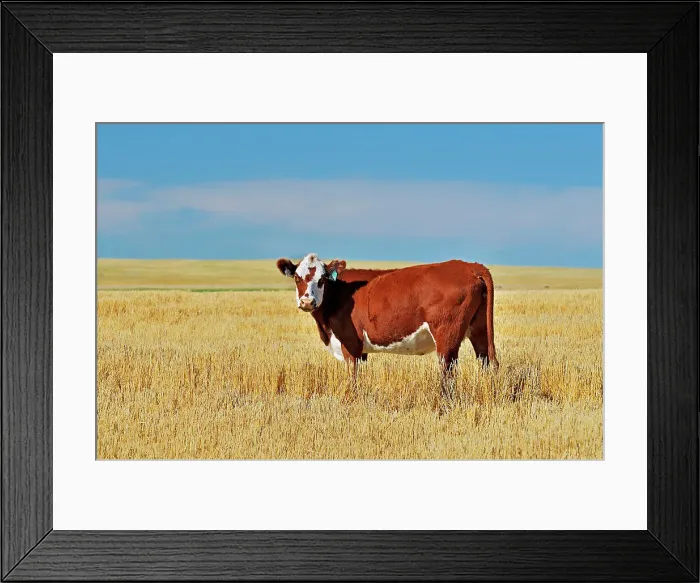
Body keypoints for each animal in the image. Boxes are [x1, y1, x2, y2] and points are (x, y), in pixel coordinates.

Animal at [276, 253, 498, 400]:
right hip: (480, 330)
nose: (307, 301)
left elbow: (352, 376)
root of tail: (470, 266)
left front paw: (350, 400)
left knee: (447, 370)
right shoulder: (361, 350)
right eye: (297, 277)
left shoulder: (350, 343)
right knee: (486, 361)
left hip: (447, 335)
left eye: (322, 279)